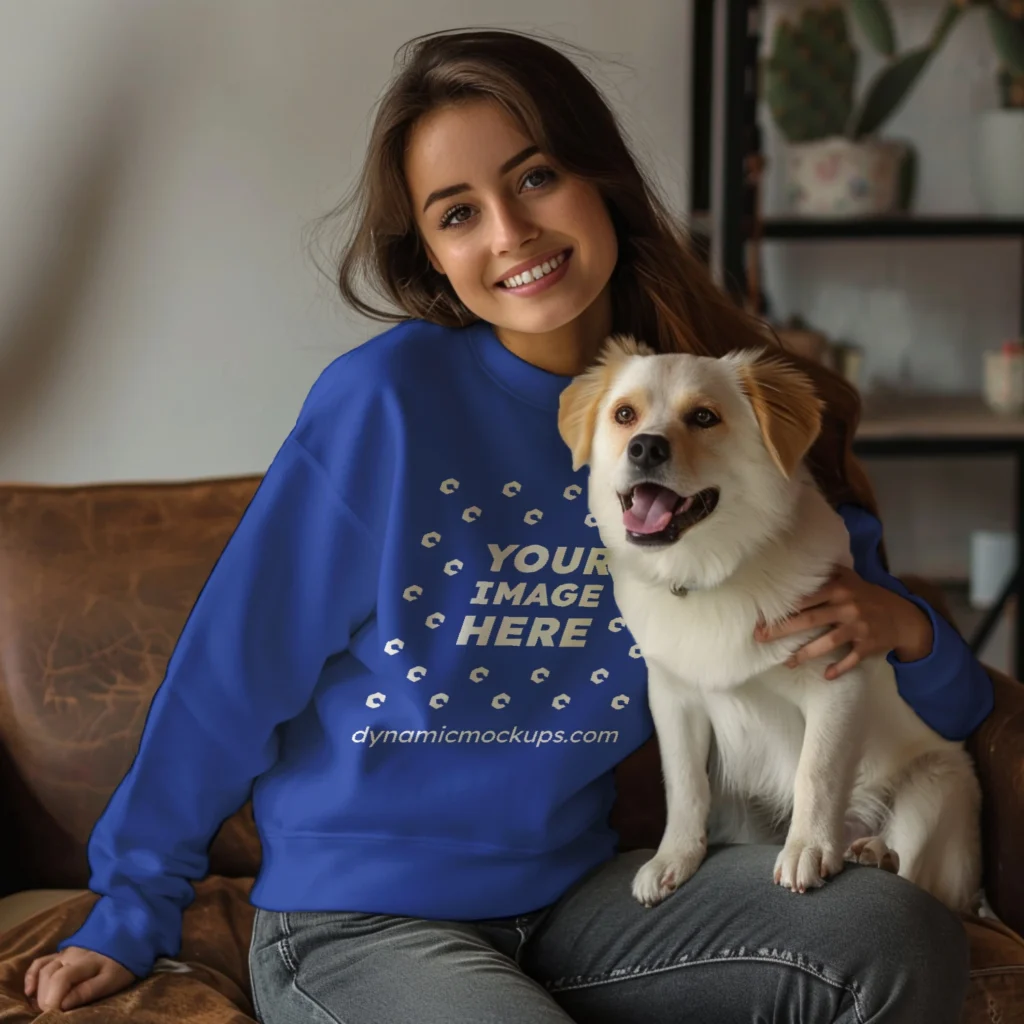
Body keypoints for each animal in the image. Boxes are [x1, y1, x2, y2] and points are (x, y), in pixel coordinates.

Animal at [561, 333, 983, 913]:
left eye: (704, 417)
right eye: (625, 414)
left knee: (918, 872)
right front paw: (674, 858)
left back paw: (872, 852)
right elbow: (684, 786)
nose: (645, 447)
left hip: (935, 787)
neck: (711, 574)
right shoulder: (673, 699)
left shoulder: (835, 682)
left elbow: (816, 774)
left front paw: (809, 848)